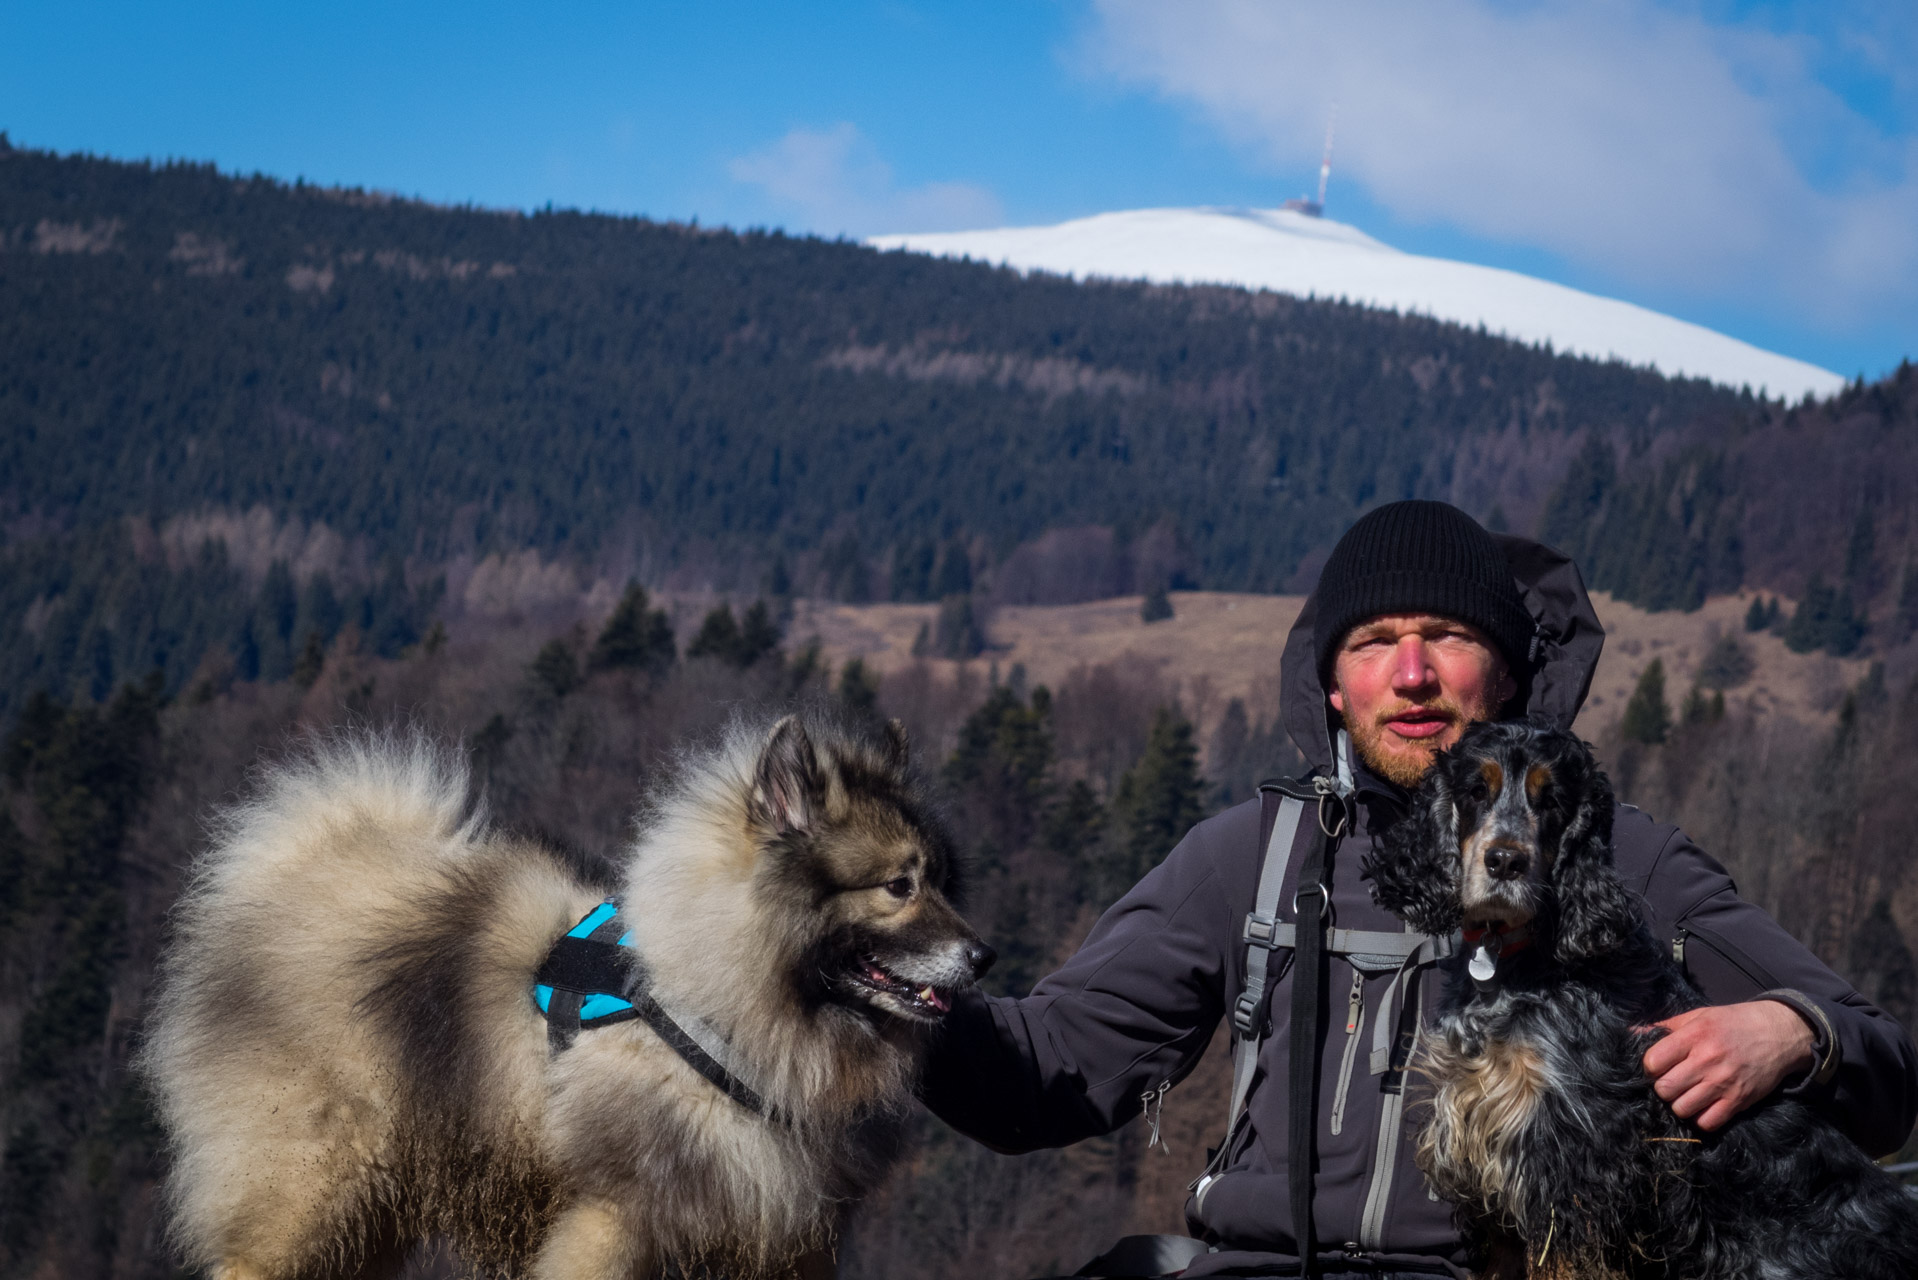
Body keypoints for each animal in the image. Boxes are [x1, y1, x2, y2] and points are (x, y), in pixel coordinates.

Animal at [145, 717, 989, 1274]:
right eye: (899, 886)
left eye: (945, 881)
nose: (985, 956)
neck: (710, 1016)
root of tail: (299, 864)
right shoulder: (614, 1221)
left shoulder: (781, 1239)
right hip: (314, 1192)